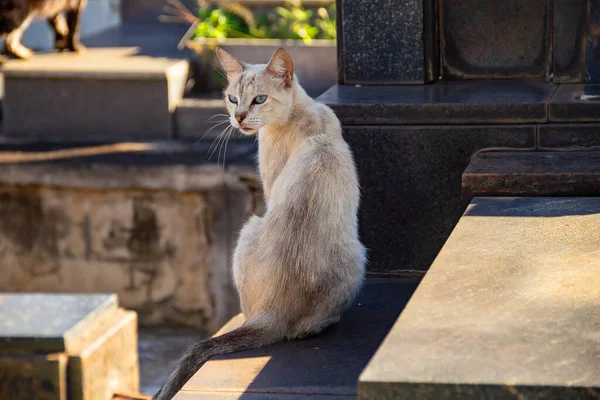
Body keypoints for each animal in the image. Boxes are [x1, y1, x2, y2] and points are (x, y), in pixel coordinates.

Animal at [154, 47, 366, 400]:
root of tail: (273, 313)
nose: (238, 118)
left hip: (249, 228)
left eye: (259, 99)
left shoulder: (267, 189)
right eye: (232, 98)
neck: (302, 115)